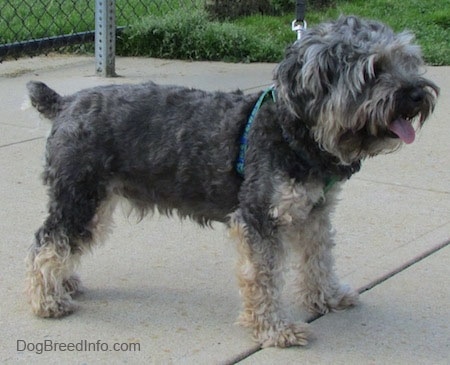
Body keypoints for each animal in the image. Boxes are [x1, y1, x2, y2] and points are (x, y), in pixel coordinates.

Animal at [25, 16, 440, 346]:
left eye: (407, 60)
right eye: (374, 69)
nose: (418, 93)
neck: (295, 131)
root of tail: (65, 103)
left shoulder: (314, 214)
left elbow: (319, 258)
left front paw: (326, 297)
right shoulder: (258, 219)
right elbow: (263, 278)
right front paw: (274, 330)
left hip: (94, 202)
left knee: (62, 244)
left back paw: (63, 282)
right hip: (79, 197)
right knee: (47, 244)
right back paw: (46, 301)